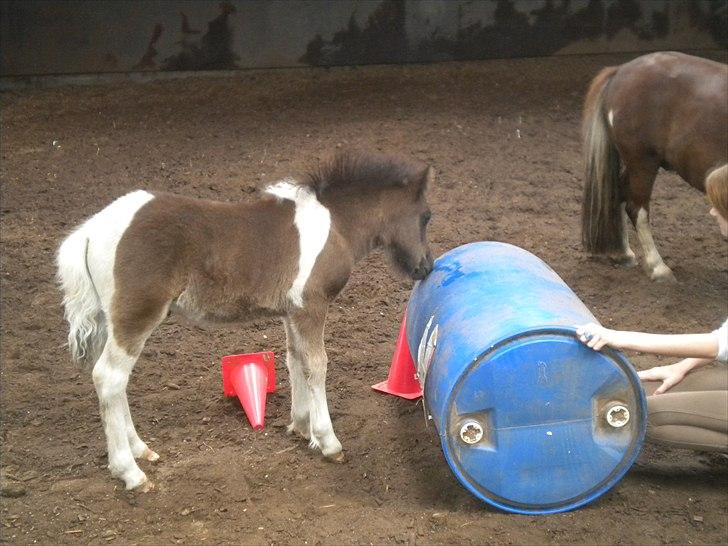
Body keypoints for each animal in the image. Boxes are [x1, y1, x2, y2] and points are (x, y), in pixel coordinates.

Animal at [58, 151, 432, 490]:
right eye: (426, 216)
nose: (426, 267)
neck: (334, 224)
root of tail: (91, 230)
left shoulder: (292, 311)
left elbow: (294, 360)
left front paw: (301, 427)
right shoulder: (311, 306)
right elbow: (316, 365)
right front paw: (327, 441)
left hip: (111, 321)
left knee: (113, 382)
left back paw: (141, 450)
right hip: (136, 315)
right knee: (109, 378)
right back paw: (130, 472)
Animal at [580, 51, 728, 280]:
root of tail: (620, 71)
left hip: (636, 165)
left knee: (618, 195)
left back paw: (623, 254)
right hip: (642, 163)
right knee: (637, 209)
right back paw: (658, 267)